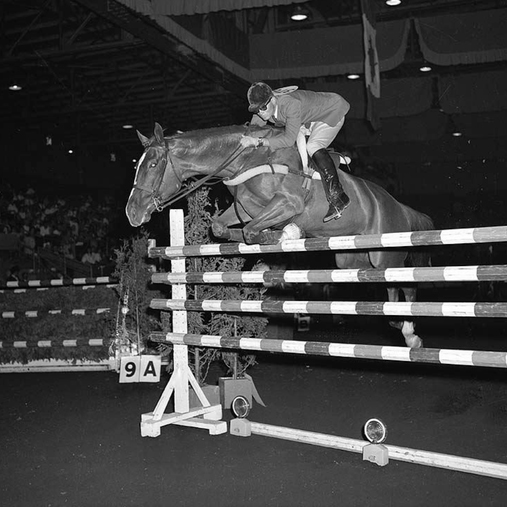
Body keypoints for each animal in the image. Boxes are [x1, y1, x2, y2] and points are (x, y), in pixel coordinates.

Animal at [126, 122, 432, 350]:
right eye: (137, 165)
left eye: (153, 164)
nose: (132, 212)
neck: (247, 160)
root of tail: (399, 206)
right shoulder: (244, 210)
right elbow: (223, 228)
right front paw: (268, 255)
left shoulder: (288, 203)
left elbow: (254, 231)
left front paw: (287, 234)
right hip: (351, 260)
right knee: (390, 284)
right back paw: (406, 331)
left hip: (383, 253)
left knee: (402, 283)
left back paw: (409, 331)